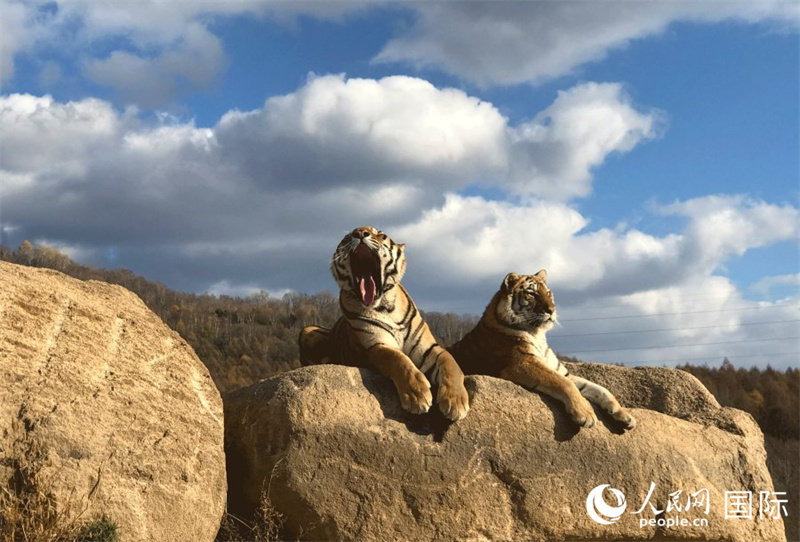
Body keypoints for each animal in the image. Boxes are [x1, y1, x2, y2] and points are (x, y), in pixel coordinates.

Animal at [298, 225, 468, 420]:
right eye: (347, 237)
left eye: (380, 234)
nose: (360, 233)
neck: (385, 307)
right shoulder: (375, 346)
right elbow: (398, 359)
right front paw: (417, 396)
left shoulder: (430, 349)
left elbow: (451, 364)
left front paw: (456, 401)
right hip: (308, 329)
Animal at [446, 272, 636, 434]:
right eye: (531, 294)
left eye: (549, 293)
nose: (552, 310)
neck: (538, 334)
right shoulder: (523, 363)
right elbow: (565, 384)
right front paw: (586, 415)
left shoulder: (561, 371)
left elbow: (600, 389)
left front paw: (626, 416)